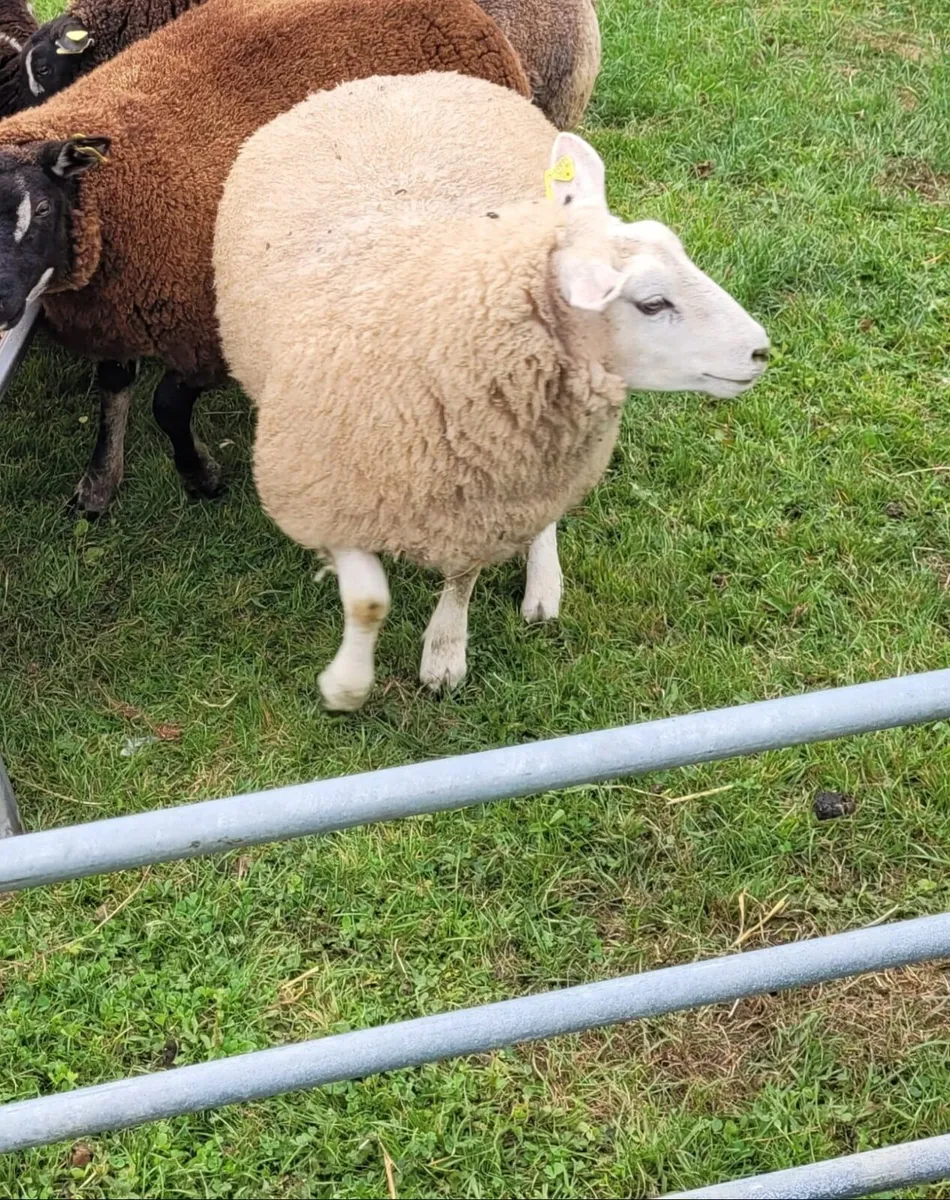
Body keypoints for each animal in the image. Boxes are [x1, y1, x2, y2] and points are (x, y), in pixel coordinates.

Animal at [0, 0, 529, 513]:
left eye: (42, 207)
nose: (3, 311)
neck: (114, 192)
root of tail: (463, 11)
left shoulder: (207, 330)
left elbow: (167, 406)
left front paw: (200, 477)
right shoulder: (114, 316)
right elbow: (112, 391)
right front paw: (99, 482)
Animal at [213, 72, 771, 711]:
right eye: (653, 303)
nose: (760, 351)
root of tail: (396, 79)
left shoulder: (487, 502)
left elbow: (462, 581)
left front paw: (443, 654)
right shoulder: (324, 494)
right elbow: (370, 600)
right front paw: (346, 684)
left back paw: (544, 585)